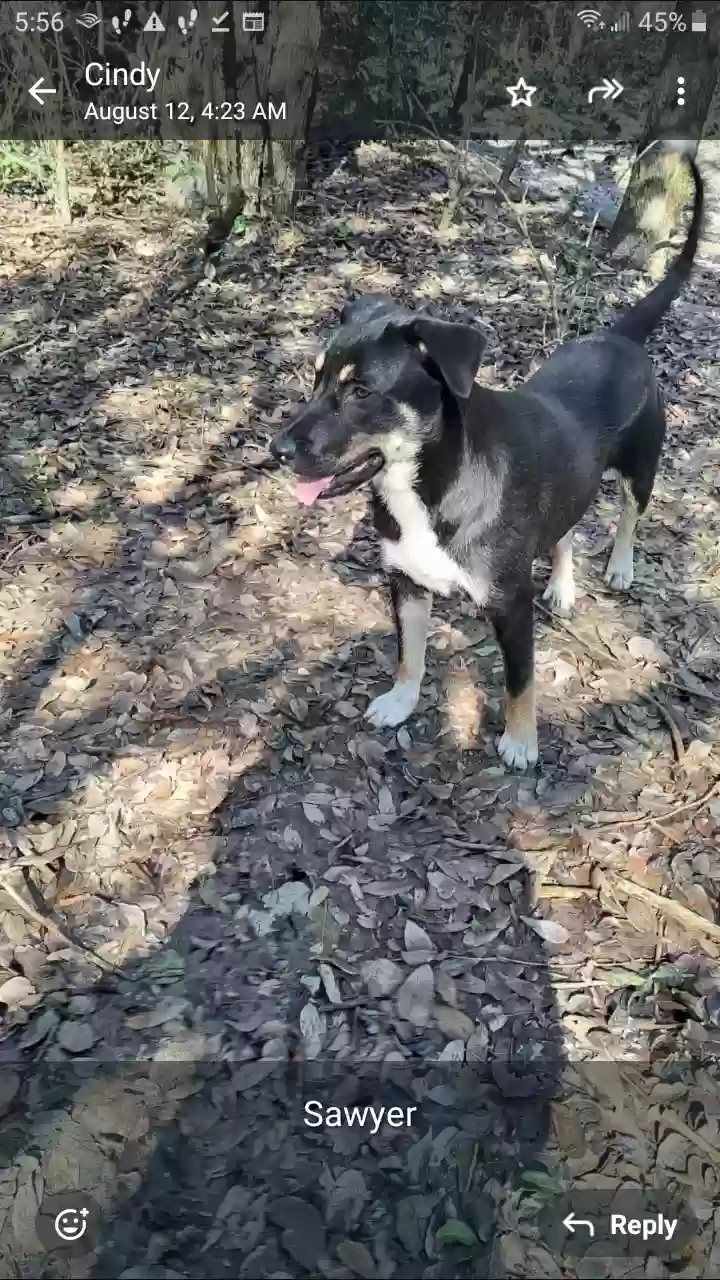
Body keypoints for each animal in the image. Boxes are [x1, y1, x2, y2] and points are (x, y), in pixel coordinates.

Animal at [269, 154, 702, 762]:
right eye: (316, 380)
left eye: (360, 392)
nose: (277, 449)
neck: (431, 486)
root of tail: (618, 337)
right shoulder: (406, 583)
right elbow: (410, 653)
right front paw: (400, 701)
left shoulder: (510, 607)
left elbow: (520, 680)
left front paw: (520, 741)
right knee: (565, 530)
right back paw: (564, 585)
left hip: (641, 469)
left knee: (628, 517)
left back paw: (620, 566)